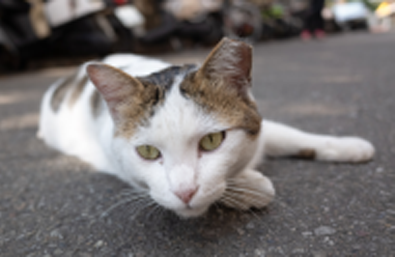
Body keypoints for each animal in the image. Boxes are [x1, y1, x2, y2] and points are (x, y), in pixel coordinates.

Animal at [36, 38, 374, 217]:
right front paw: (254, 187)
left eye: (212, 140)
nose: (184, 192)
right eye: (147, 152)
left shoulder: (256, 119)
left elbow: (292, 135)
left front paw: (349, 146)